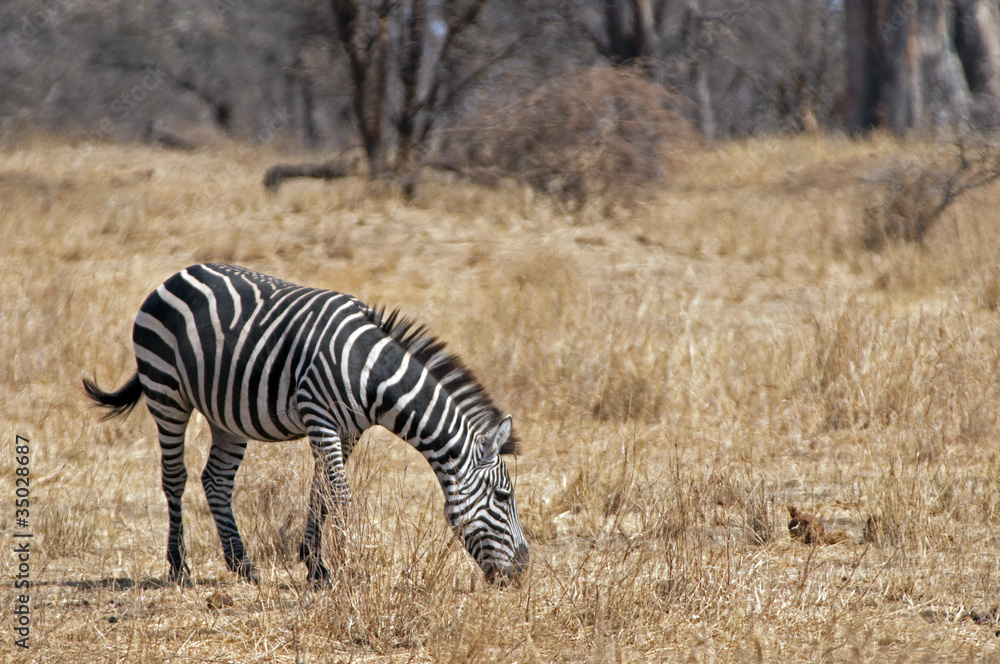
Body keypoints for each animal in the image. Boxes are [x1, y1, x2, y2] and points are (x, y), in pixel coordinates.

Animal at [84, 263, 528, 586]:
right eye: (504, 496)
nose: (523, 571)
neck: (372, 374)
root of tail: (176, 274)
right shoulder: (320, 416)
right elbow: (340, 495)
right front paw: (347, 567)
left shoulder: (347, 430)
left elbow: (322, 492)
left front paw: (317, 567)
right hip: (166, 391)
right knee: (175, 477)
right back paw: (178, 566)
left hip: (226, 413)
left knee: (217, 479)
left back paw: (242, 564)